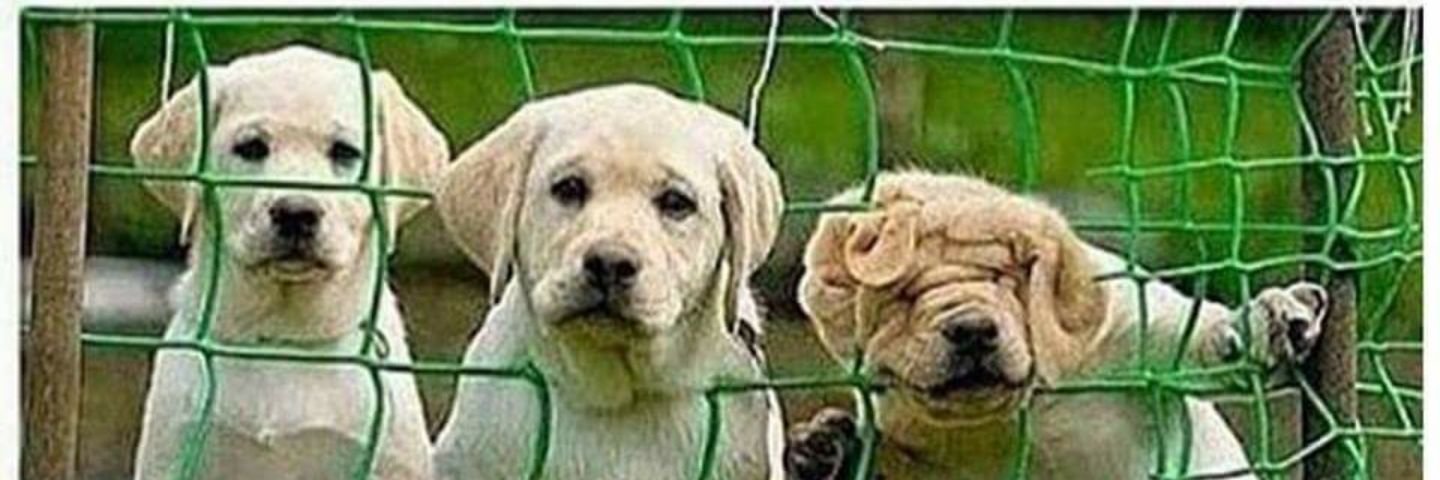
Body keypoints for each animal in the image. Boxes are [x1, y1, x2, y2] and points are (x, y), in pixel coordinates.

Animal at [785, 171, 1328, 479]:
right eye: (900, 296)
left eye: (1008, 279)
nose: (972, 328)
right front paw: (822, 449)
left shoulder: (1121, 325)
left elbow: (1187, 338)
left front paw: (1269, 324)